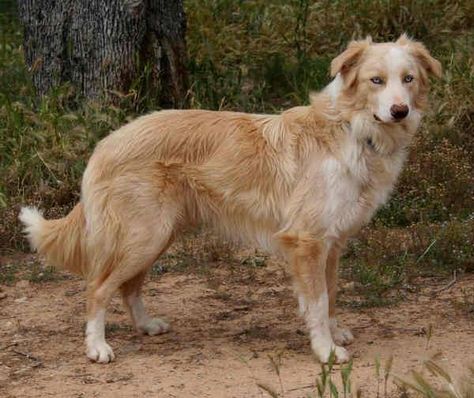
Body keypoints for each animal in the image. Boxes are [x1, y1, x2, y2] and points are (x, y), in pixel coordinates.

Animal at [17, 34, 440, 364]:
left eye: (408, 79)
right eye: (375, 81)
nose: (400, 111)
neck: (351, 129)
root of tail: (107, 141)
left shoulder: (331, 244)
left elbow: (331, 294)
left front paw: (333, 334)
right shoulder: (306, 241)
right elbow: (318, 302)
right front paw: (326, 352)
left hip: (158, 237)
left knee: (128, 286)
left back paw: (146, 326)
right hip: (144, 238)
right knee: (97, 287)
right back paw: (97, 348)